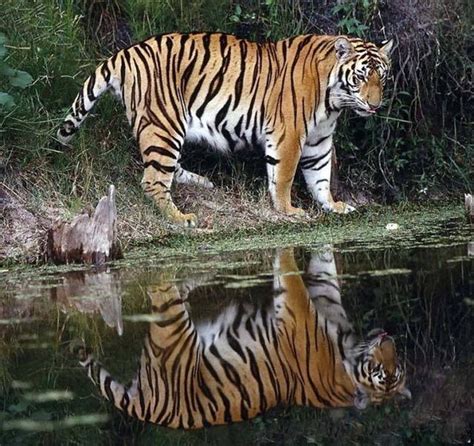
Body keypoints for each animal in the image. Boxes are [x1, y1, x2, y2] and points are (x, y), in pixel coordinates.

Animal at [57, 32, 394, 226]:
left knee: (167, 169)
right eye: (361, 77)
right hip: (164, 124)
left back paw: (202, 183)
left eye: (382, 77)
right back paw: (182, 218)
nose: (375, 105)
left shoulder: (319, 139)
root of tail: (125, 53)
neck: (333, 100)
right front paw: (288, 211)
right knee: (153, 180)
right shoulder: (289, 135)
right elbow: (284, 176)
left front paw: (333, 206)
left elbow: (321, 176)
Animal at [76, 247, 410, 428]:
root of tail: (151, 410)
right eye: (383, 370)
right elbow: (314, 276)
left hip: (170, 327)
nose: (388, 339)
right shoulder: (309, 308)